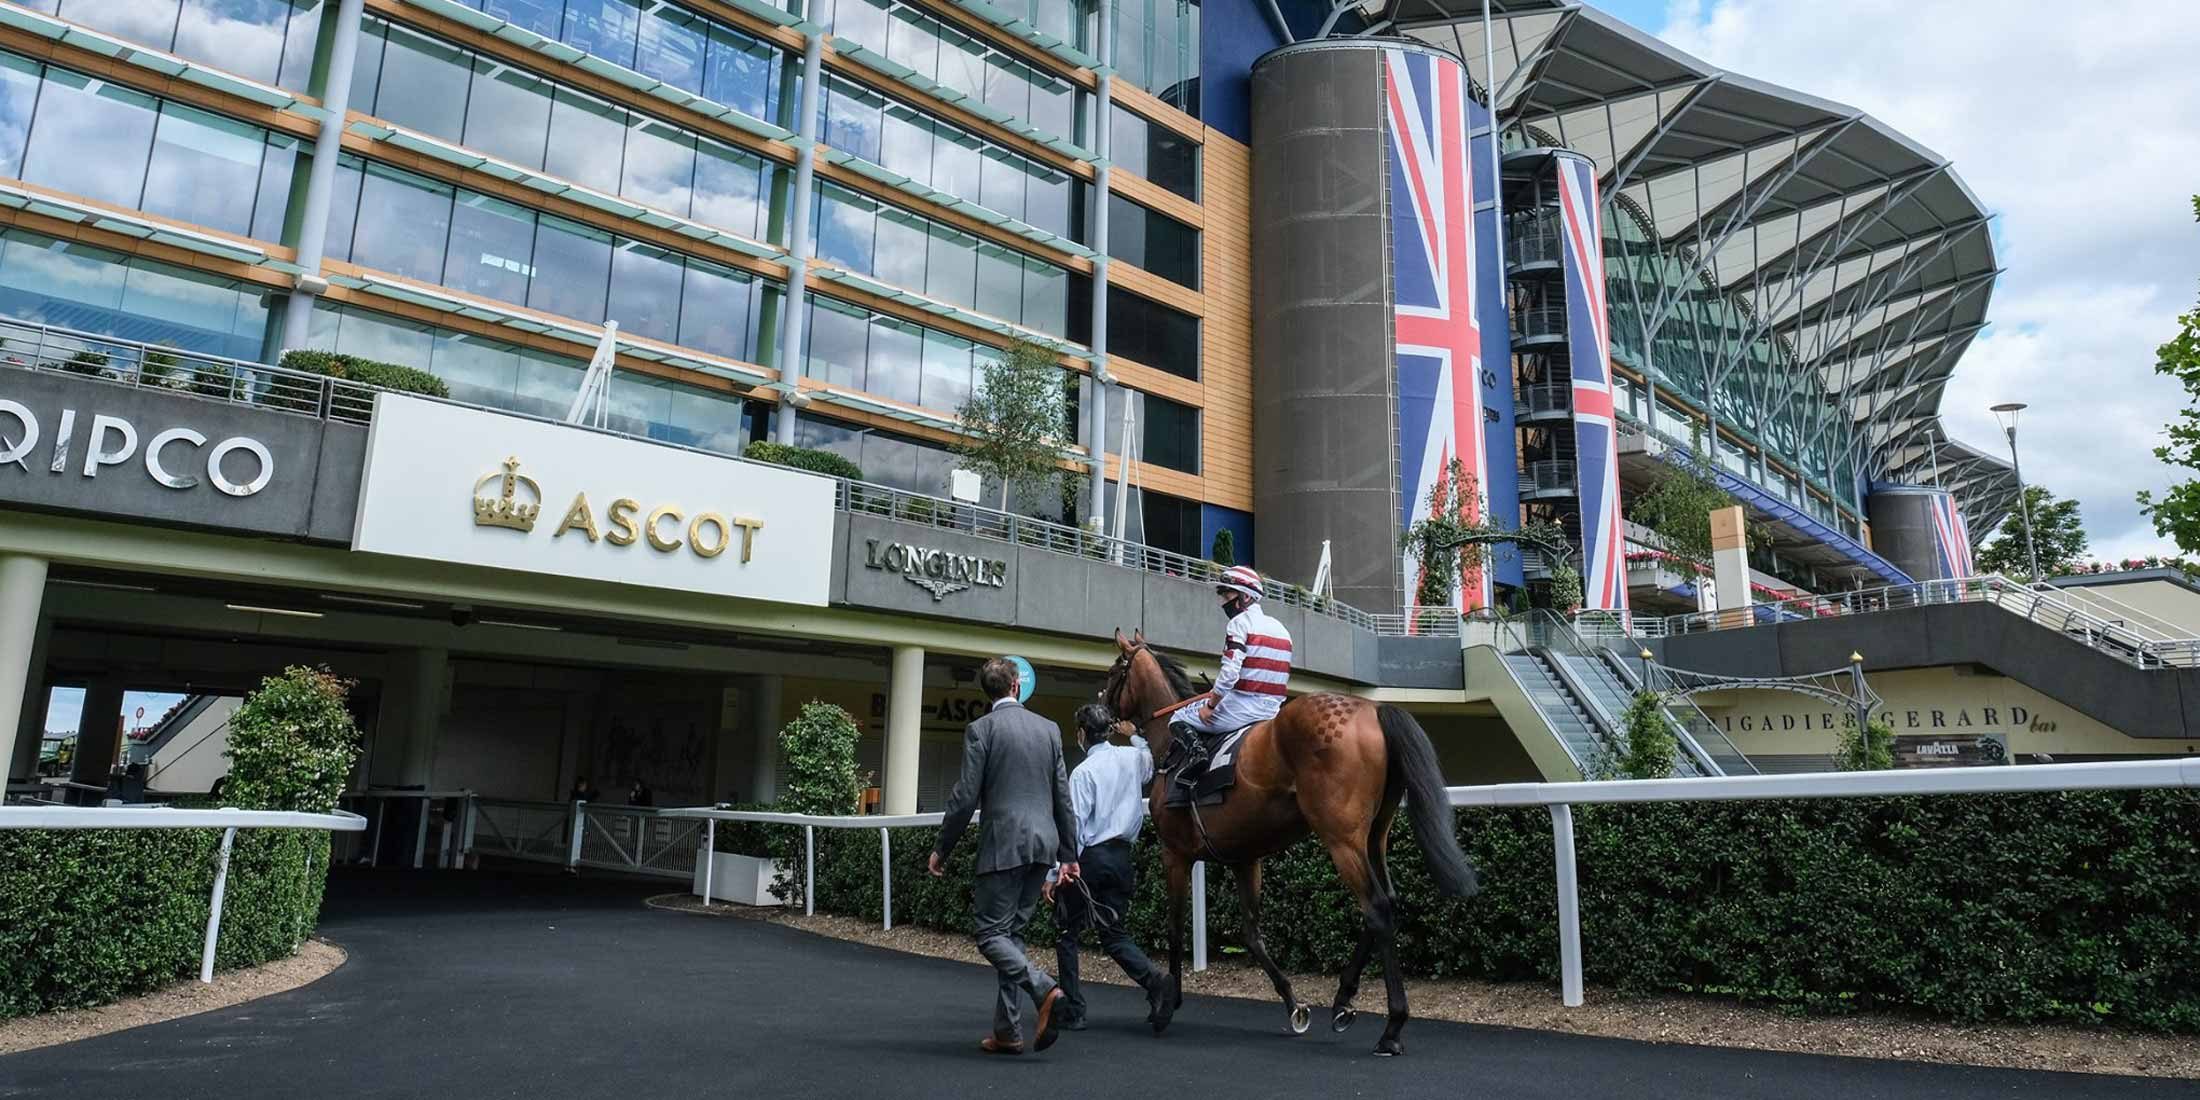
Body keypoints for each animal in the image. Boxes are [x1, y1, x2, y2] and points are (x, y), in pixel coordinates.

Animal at [1100, 629, 1478, 1056]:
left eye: (1114, 672)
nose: (1098, 708)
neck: (1170, 746)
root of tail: (1374, 708)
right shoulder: (1245, 859)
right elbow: (1252, 933)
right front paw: (1294, 1004)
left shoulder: (1174, 854)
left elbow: (1175, 927)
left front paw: (1166, 1006)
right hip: (1375, 834)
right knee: (1388, 901)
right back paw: (1343, 1000)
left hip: (1341, 838)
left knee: (1377, 908)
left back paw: (1392, 1027)